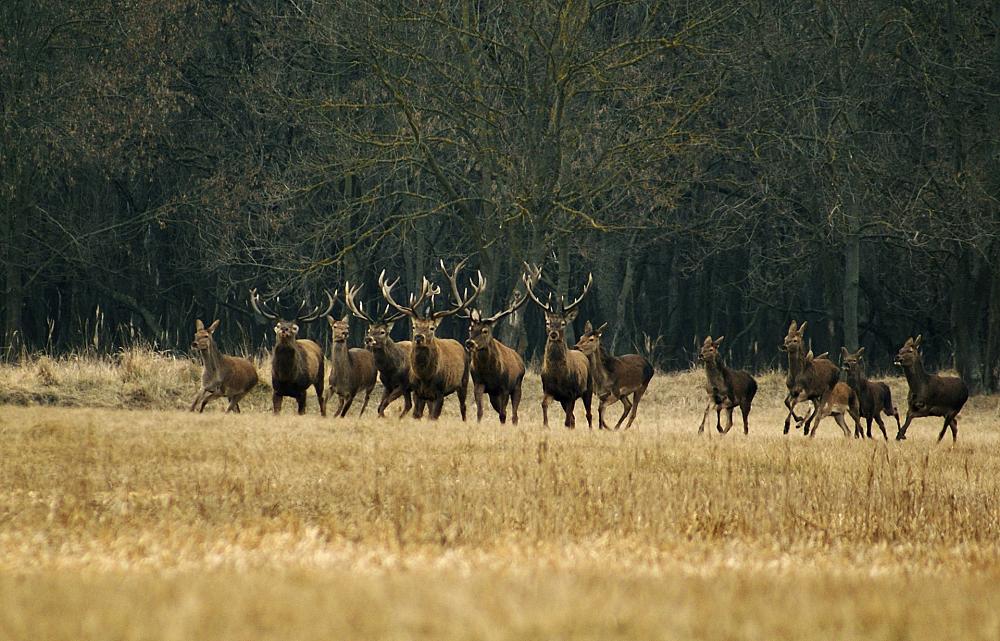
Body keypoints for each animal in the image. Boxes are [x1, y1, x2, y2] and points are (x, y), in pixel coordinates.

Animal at [247, 288, 332, 416]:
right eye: (278, 325)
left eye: (294, 327)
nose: (284, 329)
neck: (286, 376)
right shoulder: (276, 390)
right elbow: (276, 411)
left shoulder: (302, 390)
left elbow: (302, 411)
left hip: (320, 376)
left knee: (321, 398)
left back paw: (324, 415)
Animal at [340, 282, 410, 420]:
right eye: (369, 330)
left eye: (382, 331)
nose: (368, 339)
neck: (390, 370)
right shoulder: (387, 385)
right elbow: (380, 407)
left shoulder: (403, 384)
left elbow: (384, 404)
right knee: (409, 405)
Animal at [376, 260, 482, 420]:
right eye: (414, 326)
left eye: (432, 328)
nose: (419, 337)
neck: (425, 377)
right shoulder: (418, 392)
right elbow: (417, 415)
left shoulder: (440, 392)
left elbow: (433, 416)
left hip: (463, 381)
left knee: (462, 407)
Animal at [458, 290, 528, 424]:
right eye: (470, 328)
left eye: (485, 330)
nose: (469, 343)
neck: (490, 372)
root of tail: (520, 359)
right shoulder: (478, 384)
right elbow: (480, 412)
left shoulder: (504, 387)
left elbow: (503, 414)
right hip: (493, 395)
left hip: (517, 386)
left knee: (514, 415)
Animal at [524, 260, 592, 430]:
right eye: (548, 322)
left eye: (562, 323)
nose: (553, 334)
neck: (558, 376)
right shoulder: (549, 390)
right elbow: (544, 405)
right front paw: (545, 425)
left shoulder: (571, 393)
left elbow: (568, 418)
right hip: (563, 399)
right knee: (574, 418)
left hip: (589, 387)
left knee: (588, 414)